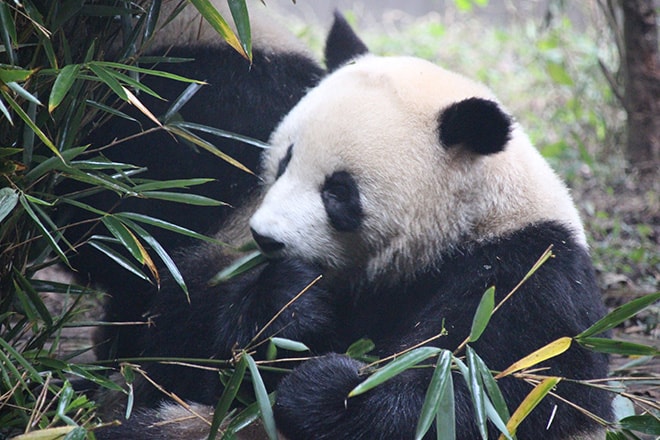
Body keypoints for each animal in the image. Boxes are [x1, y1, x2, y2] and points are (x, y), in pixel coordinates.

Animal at [91, 12, 608, 438]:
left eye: (338, 191)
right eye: (284, 161)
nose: (265, 237)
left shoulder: (526, 272)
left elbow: (484, 387)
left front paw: (327, 390)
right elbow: (172, 342)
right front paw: (288, 305)